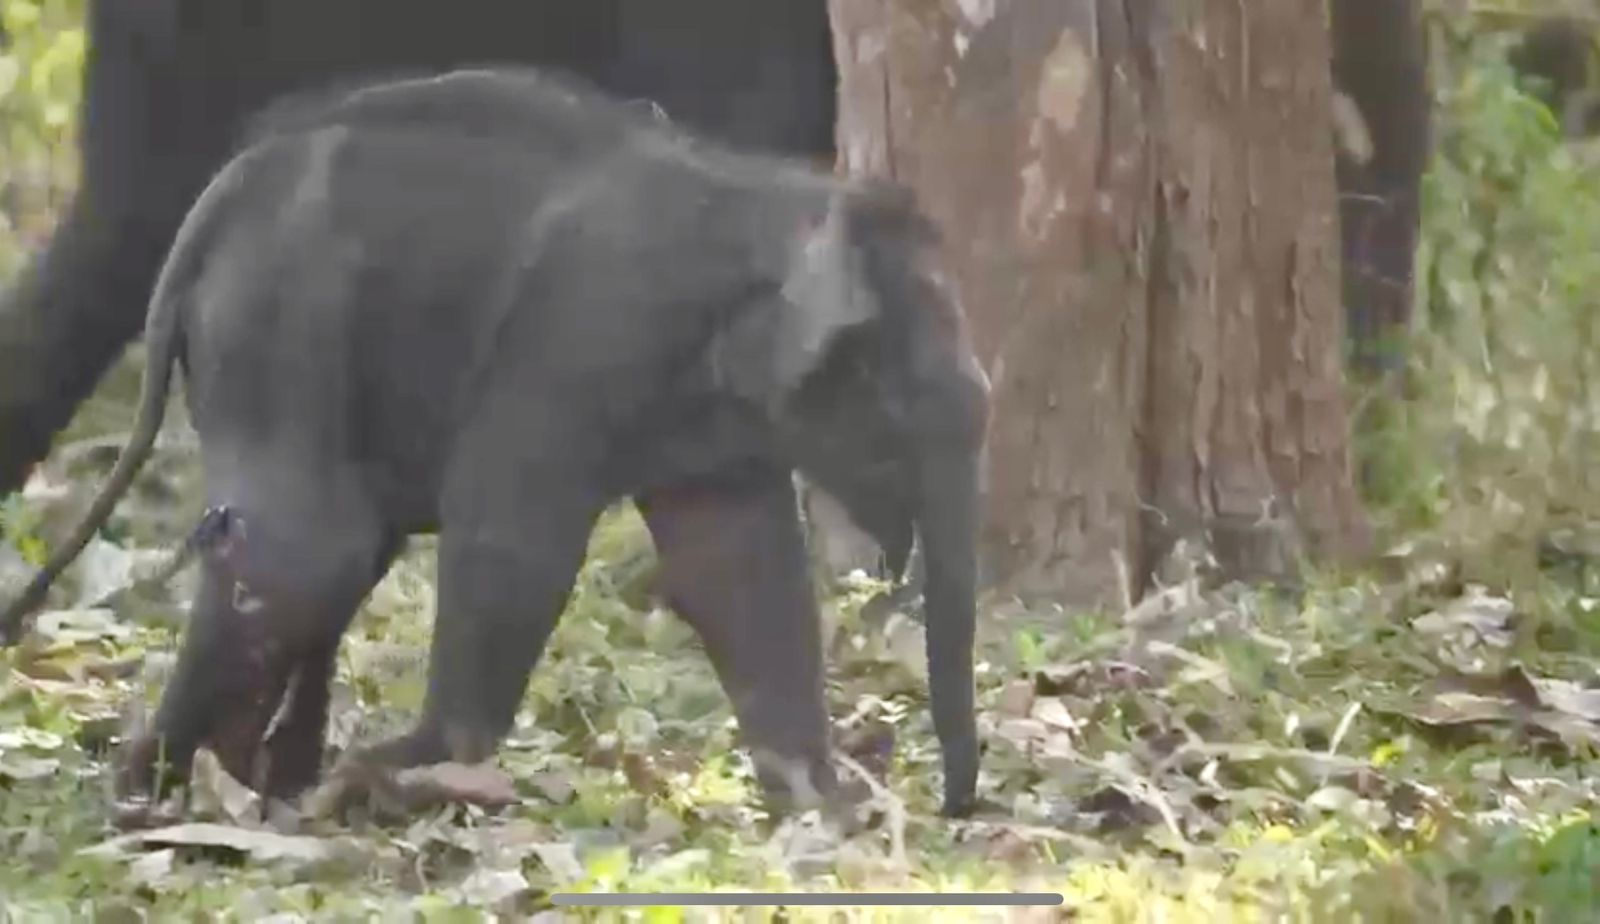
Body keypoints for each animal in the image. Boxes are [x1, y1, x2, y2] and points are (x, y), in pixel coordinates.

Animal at [1, 67, 991, 817]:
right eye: (897, 413)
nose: (954, 808)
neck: (781, 202)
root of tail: (226, 189)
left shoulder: (712, 428)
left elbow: (740, 572)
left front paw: (821, 805)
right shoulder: (567, 349)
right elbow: (512, 544)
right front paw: (412, 767)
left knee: (322, 562)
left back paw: (247, 782)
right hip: (276, 324)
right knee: (305, 556)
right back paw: (162, 792)